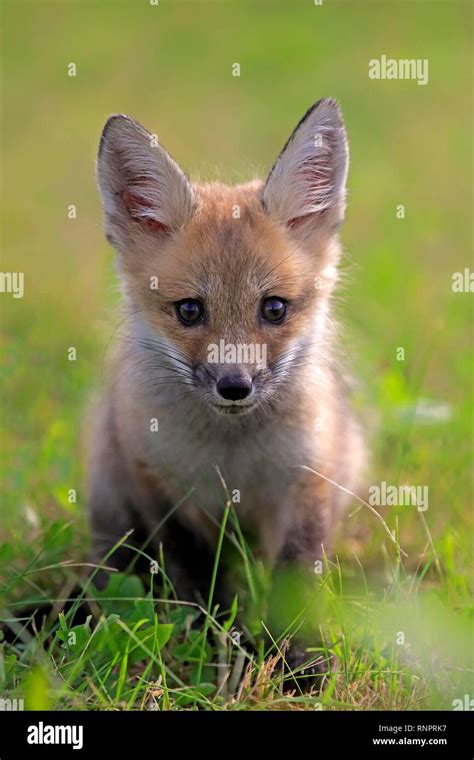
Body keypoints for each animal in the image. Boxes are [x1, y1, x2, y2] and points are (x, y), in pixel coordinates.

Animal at [92, 96, 366, 684]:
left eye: (274, 308)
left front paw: (299, 664)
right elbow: (194, 581)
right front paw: (205, 651)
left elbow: (295, 580)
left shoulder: (308, 480)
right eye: (190, 311)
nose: (234, 386)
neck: (232, 457)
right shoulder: (161, 487)